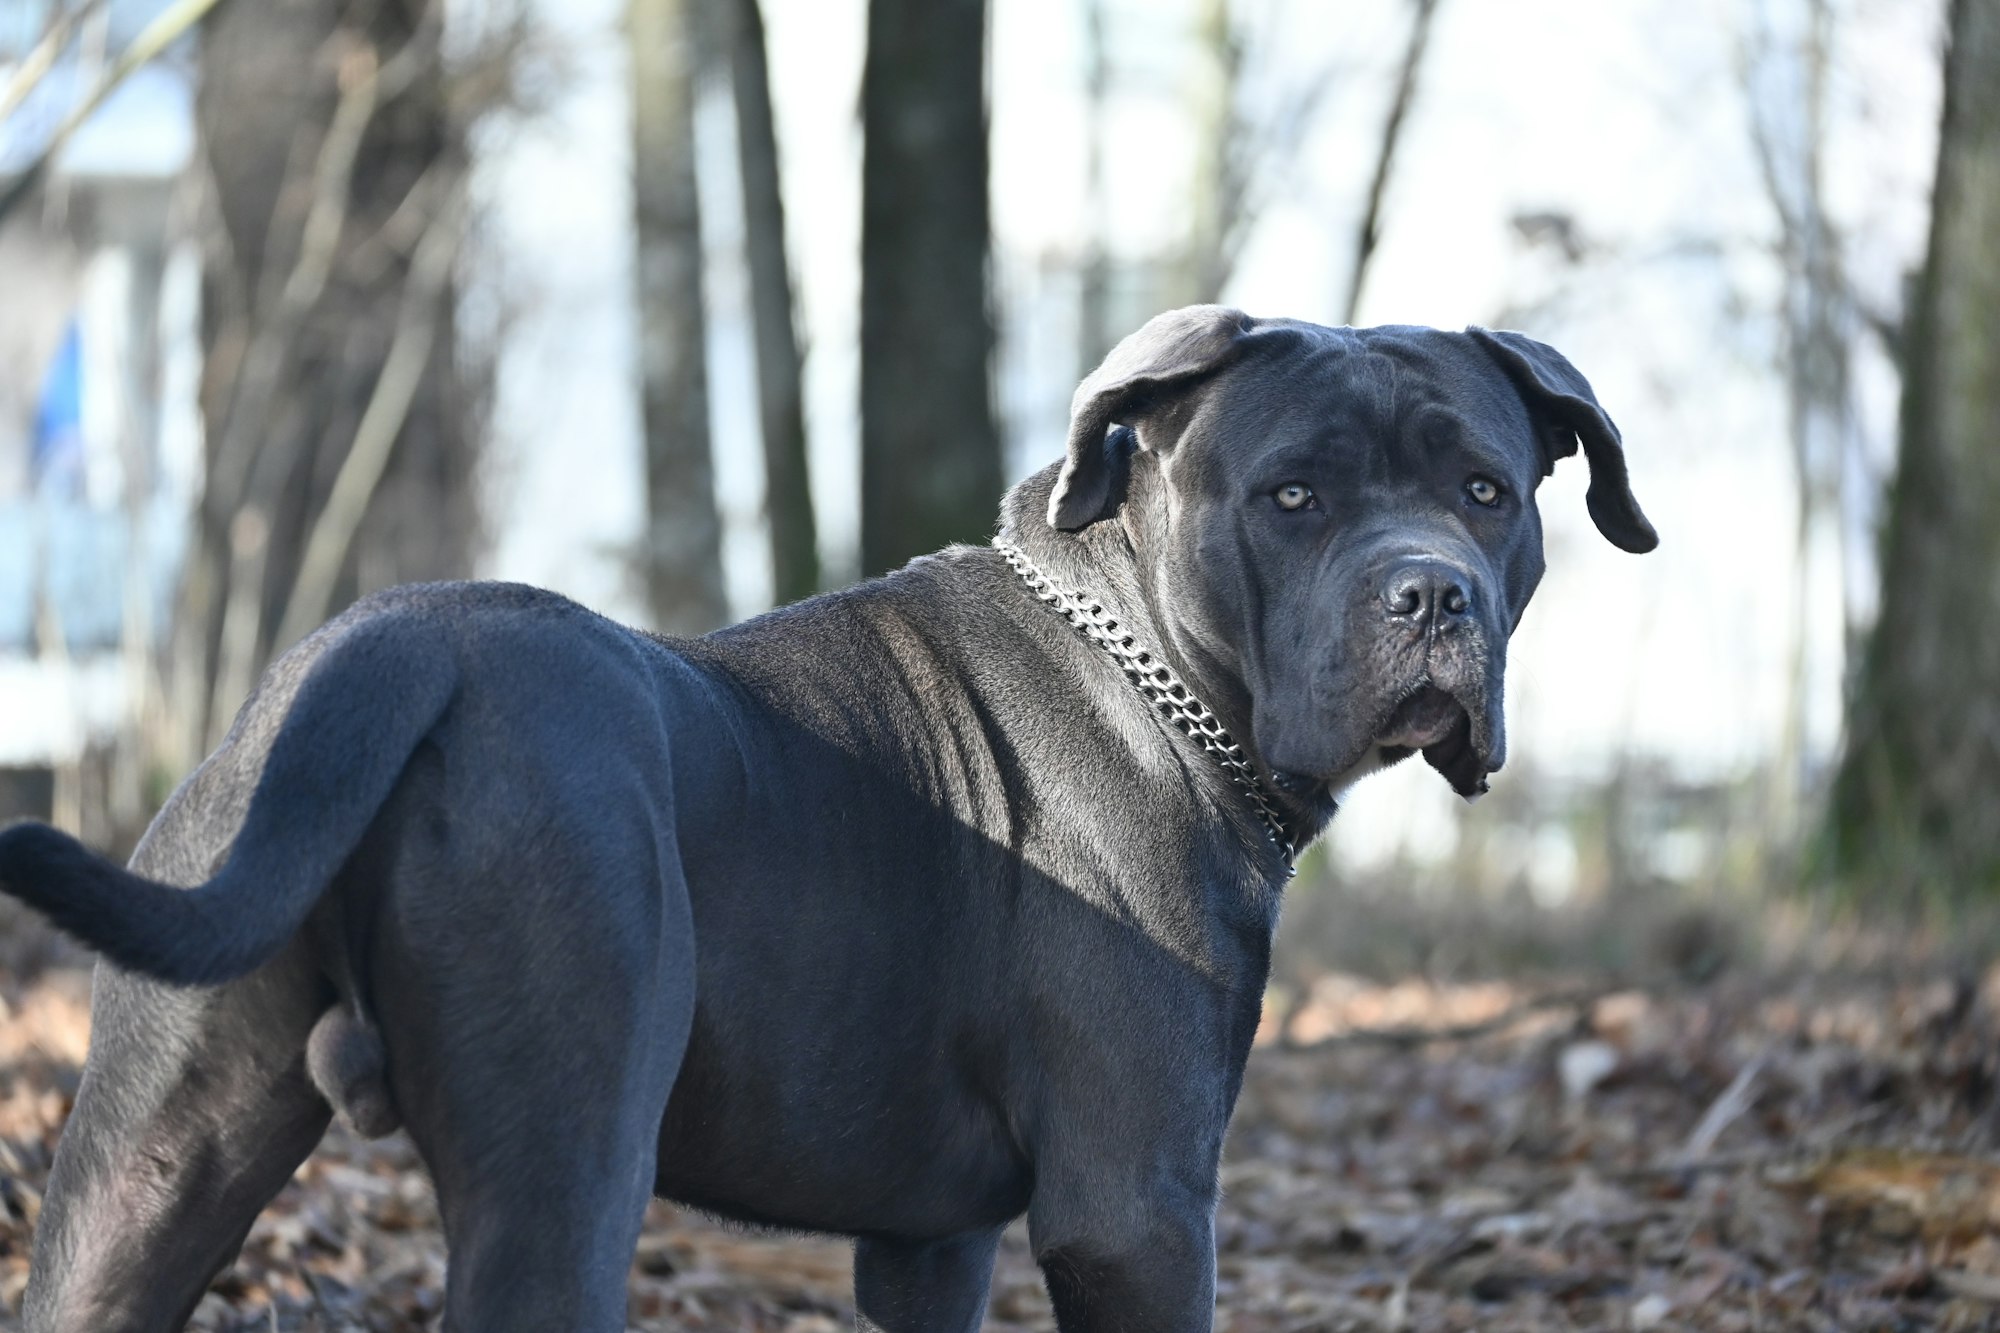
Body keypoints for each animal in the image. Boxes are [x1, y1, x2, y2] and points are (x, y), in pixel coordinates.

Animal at [0, 306, 1656, 1320]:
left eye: (1489, 491)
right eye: (1293, 498)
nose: (1430, 593)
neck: (1154, 659)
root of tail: (393, 645)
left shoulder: (930, 1241)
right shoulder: (1135, 1204)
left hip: (144, 1167)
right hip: (565, 1175)